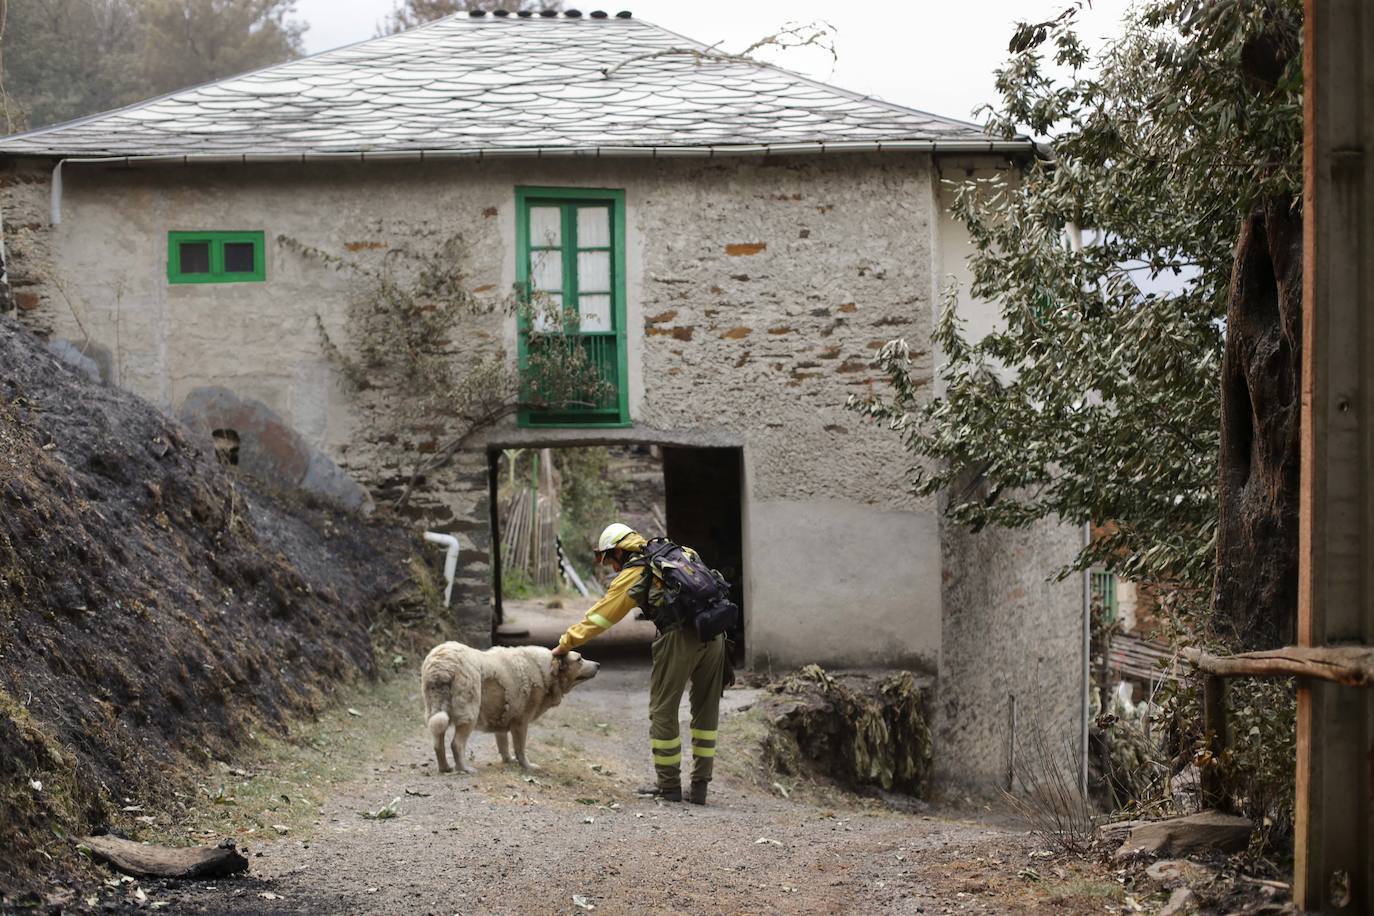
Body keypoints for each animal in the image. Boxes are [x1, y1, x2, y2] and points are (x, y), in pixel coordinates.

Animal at [412, 645, 596, 774]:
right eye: (579, 659)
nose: (598, 664)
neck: (544, 671)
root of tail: (442, 665)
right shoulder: (521, 723)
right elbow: (520, 748)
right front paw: (527, 766)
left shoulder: (502, 719)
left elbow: (504, 745)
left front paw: (508, 760)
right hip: (469, 714)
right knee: (456, 744)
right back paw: (464, 769)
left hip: (436, 713)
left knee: (438, 743)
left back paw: (445, 768)